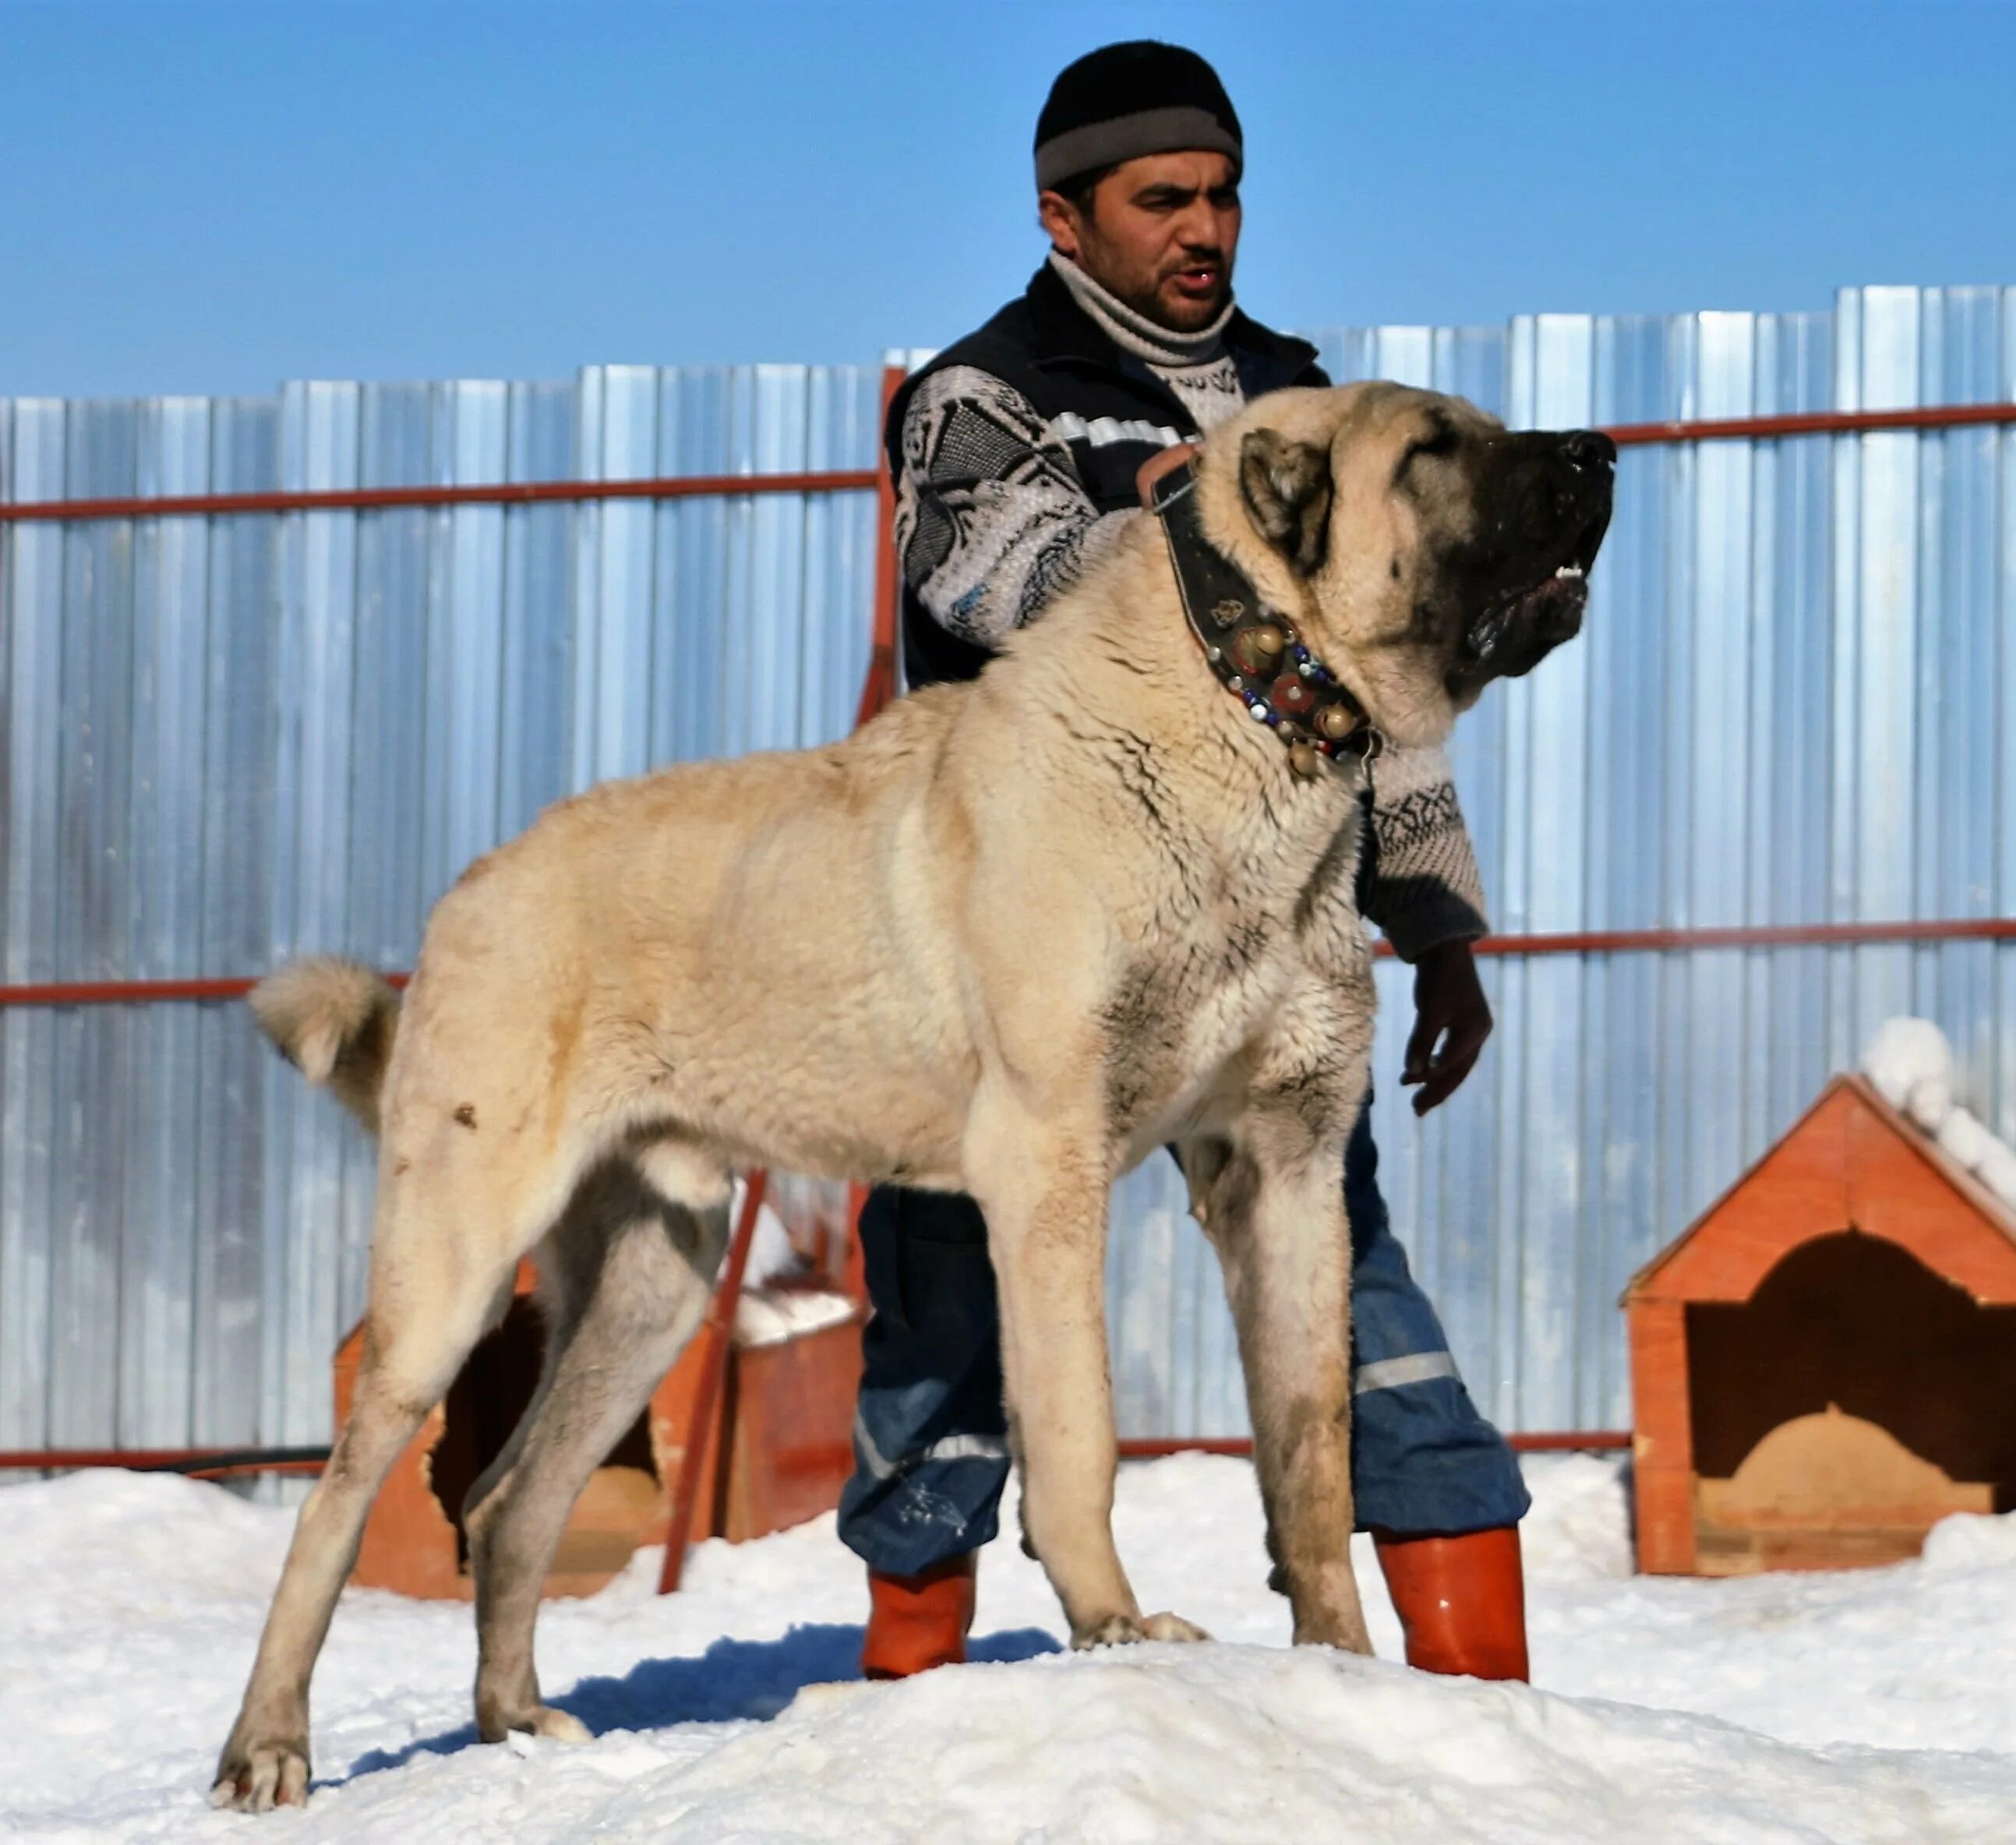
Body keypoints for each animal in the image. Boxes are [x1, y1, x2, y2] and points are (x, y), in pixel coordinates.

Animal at [212, 383, 1612, 1815]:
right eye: (1433, 448)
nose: (1599, 451)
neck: (1246, 708)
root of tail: (469, 888)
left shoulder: (1286, 1170)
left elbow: (1311, 1452)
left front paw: (1340, 1671)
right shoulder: (1046, 1165)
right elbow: (1078, 1431)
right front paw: (1117, 1628)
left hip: (658, 1278)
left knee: (510, 1499)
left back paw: (514, 1726)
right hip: (453, 1265)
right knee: (335, 1501)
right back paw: (268, 1748)